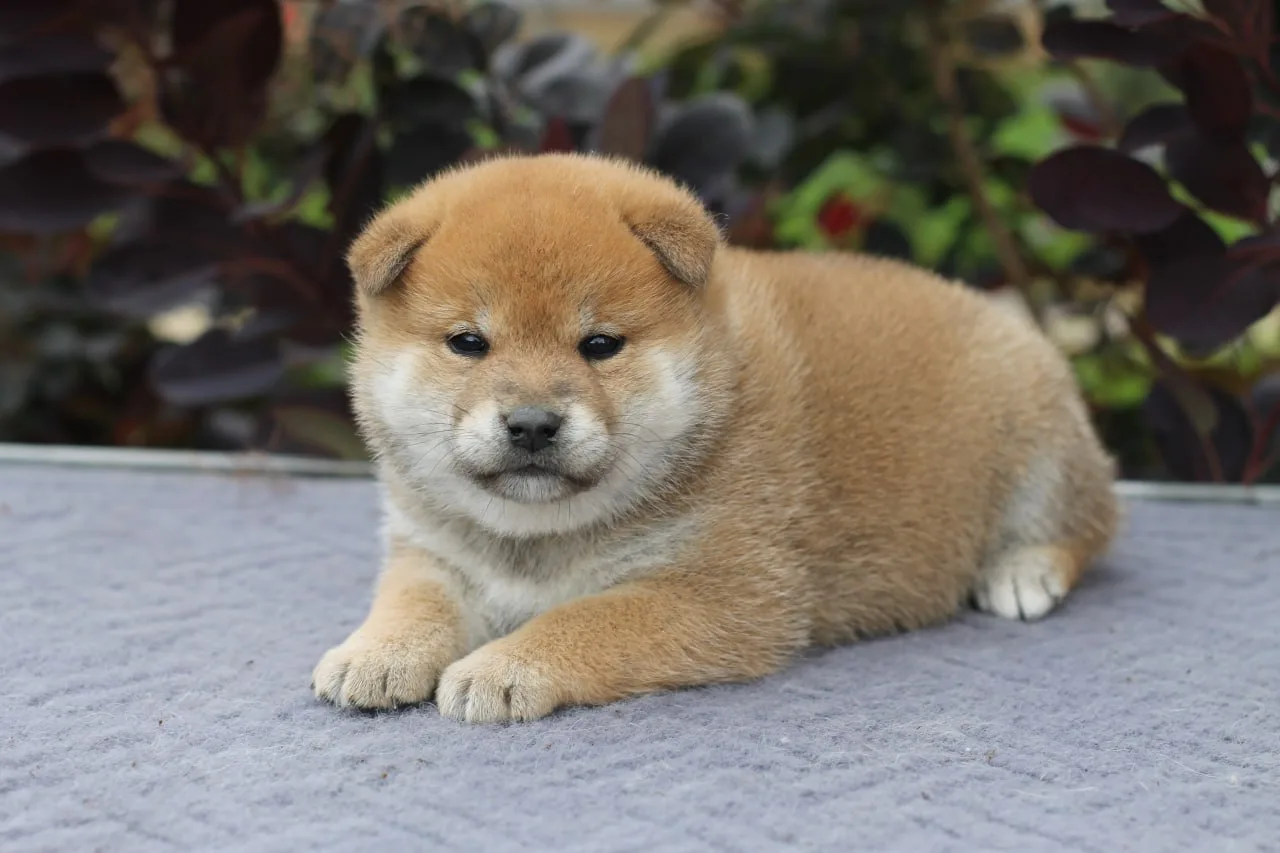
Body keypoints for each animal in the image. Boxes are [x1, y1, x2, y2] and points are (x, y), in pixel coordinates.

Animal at [312, 152, 1118, 723]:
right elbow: (411, 602)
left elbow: (586, 618)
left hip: (1042, 449)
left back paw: (1024, 572)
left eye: (599, 345)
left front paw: (504, 667)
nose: (533, 422)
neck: (537, 540)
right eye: (468, 343)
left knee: (1092, 525)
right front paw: (375, 652)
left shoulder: (726, 593)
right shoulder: (431, 551)